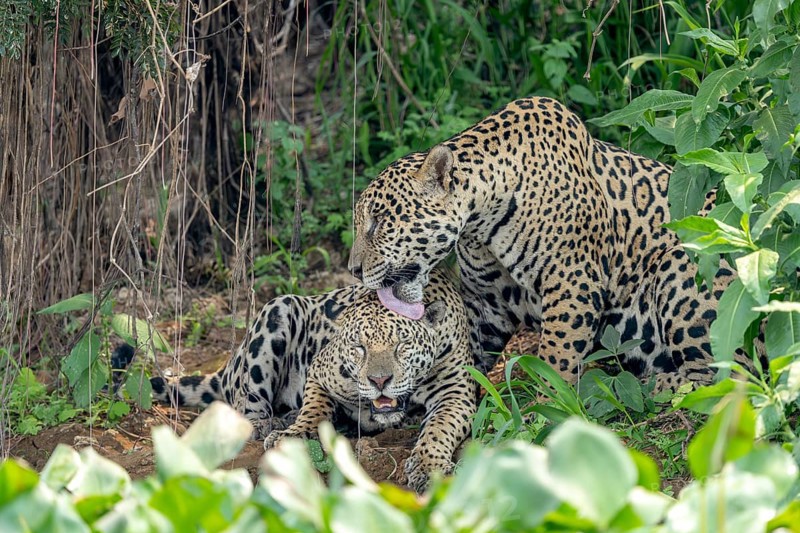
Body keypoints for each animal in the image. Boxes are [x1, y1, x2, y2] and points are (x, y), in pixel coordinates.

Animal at [146, 269, 476, 492]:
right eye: (359, 347)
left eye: (402, 344)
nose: (379, 380)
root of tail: (230, 363)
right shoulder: (320, 371)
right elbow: (314, 409)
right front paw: (294, 434)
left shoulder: (455, 393)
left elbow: (438, 429)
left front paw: (428, 468)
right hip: (276, 310)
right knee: (247, 403)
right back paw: (267, 424)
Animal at [349, 96, 752, 393]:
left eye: (378, 222)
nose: (353, 270)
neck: (480, 221)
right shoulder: (486, 303)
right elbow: (465, 352)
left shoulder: (573, 285)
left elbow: (555, 361)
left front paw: (548, 414)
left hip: (683, 265)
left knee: (729, 378)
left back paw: (655, 384)